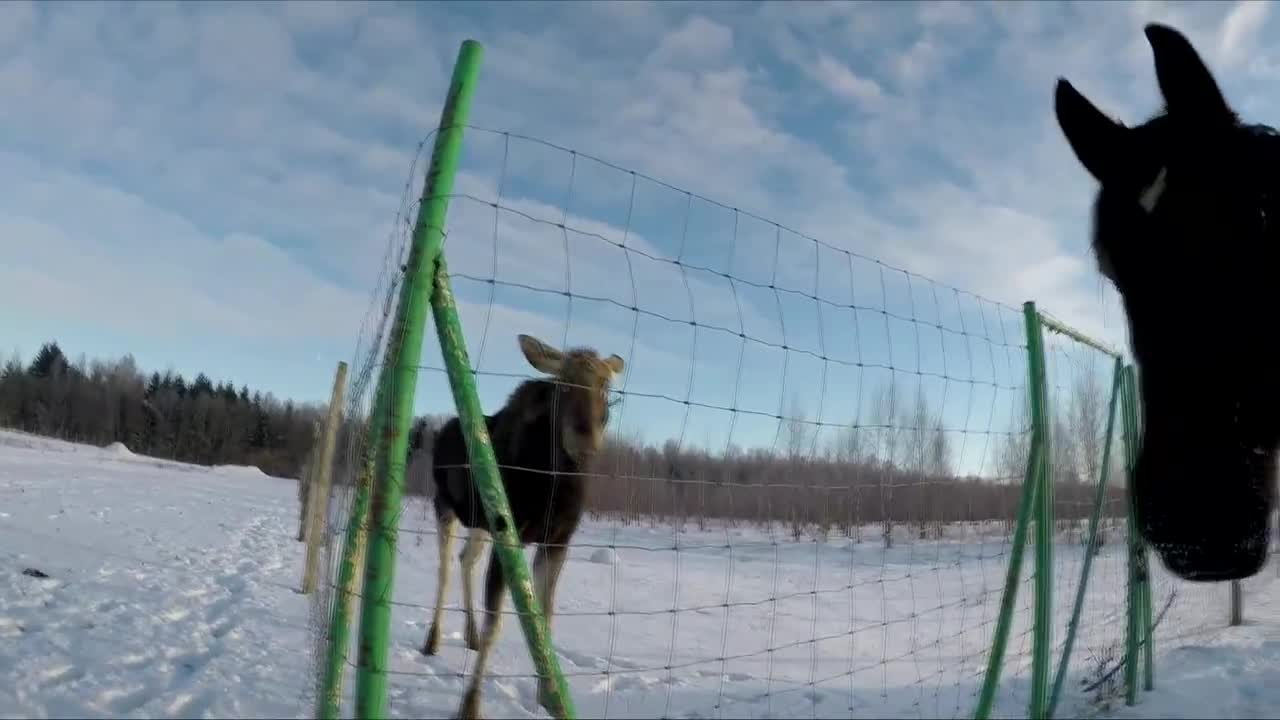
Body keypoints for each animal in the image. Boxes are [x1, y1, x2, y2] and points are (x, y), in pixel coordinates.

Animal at [422, 330, 622, 712]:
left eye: (605, 386)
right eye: (564, 385)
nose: (585, 441)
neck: (555, 483)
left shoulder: (557, 541)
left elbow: (544, 616)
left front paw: (549, 694)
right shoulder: (509, 535)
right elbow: (497, 622)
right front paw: (470, 705)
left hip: (480, 524)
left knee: (465, 560)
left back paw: (468, 634)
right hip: (444, 506)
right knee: (443, 570)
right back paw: (432, 639)